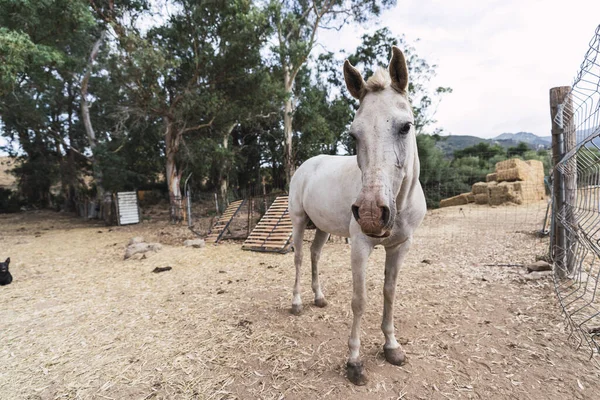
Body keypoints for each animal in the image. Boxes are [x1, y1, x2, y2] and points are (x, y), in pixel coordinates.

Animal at [290, 46, 426, 384]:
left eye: (405, 126)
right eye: (353, 135)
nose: (371, 214)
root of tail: (306, 164)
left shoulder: (400, 247)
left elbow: (389, 293)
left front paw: (392, 347)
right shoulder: (360, 246)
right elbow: (360, 300)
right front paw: (354, 362)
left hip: (322, 227)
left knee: (314, 254)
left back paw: (318, 298)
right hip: (298, 221)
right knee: (298, 258)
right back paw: (297, 303)